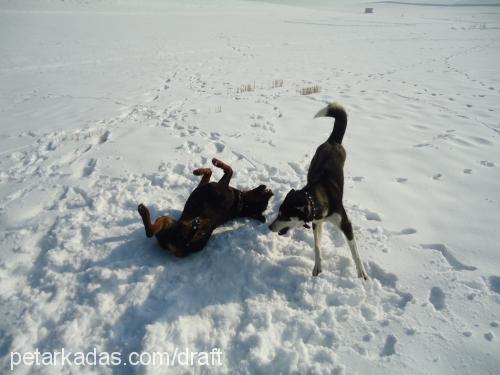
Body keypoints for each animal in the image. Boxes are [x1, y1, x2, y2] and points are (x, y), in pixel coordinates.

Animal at [138, 159, 274, 258]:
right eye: (265, 200)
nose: (270, 190)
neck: (240, 202)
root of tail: (186, 248)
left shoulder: (221, 184)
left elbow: (230, 169)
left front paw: (216, 162)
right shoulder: (204, 184)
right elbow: (209, 172)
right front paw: (199, 170)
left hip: (173, 225)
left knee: (149, 232)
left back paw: (143, 210)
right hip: (166, 227)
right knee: (152, 230)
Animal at [270, 103, 368, 280]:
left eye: (284, 216)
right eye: (278, 213)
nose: (269, 227)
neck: (314, 198)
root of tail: (332, 141)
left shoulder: (345, 223)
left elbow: (354, 251)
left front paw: (361, 272)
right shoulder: (317, 222)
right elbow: (316, 246)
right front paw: (317, 267)